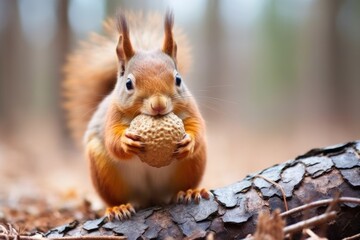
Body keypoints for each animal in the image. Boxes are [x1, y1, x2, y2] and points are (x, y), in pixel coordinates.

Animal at [62, 11, 208, 221]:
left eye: (178, 79)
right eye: (128, 84)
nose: (158, 105)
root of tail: (152, 197)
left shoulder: (191, 109)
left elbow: (198, 126)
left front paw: (189, 141)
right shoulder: (111, 116)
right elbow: (112, 140)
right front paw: (126, 142)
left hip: (192, 166)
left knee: (179, 188)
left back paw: (189, 192)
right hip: (104, 171)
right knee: (115, 197)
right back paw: (119, 208)